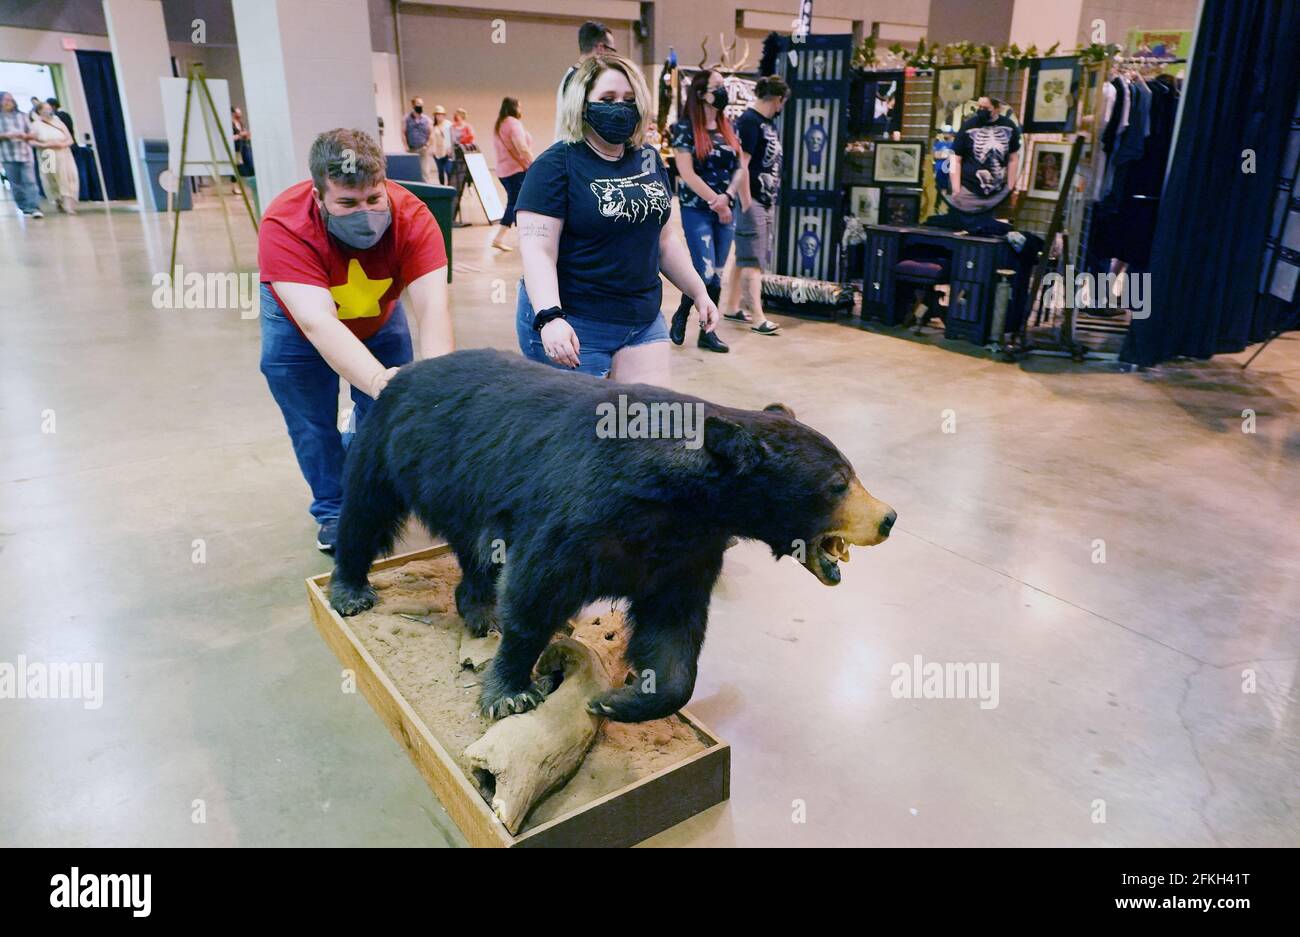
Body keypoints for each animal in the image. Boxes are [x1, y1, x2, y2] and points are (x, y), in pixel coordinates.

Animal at [330, 348, 894, 722]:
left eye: (851, 471)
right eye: (838, 483)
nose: (888, 518)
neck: (676, 500)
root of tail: (403, 371)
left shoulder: (686, 551)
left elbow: (674, 631)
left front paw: (619, 699)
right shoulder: (579, 513)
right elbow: (537, 592)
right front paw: (510, 691)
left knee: (476, 554)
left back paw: (480, 608)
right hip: (391, 445)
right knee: (364, 511)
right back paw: (352, 590)